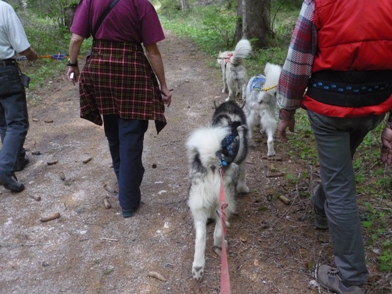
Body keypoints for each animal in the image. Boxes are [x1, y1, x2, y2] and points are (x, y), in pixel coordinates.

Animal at [186, 100, 248, 280]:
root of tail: (213, 162)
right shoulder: (241, 163)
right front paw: (244, 188)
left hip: (198, 204)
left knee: (200, 237)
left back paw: (198, 267)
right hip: (225, 198)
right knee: (217, 232)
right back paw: (221, 243)